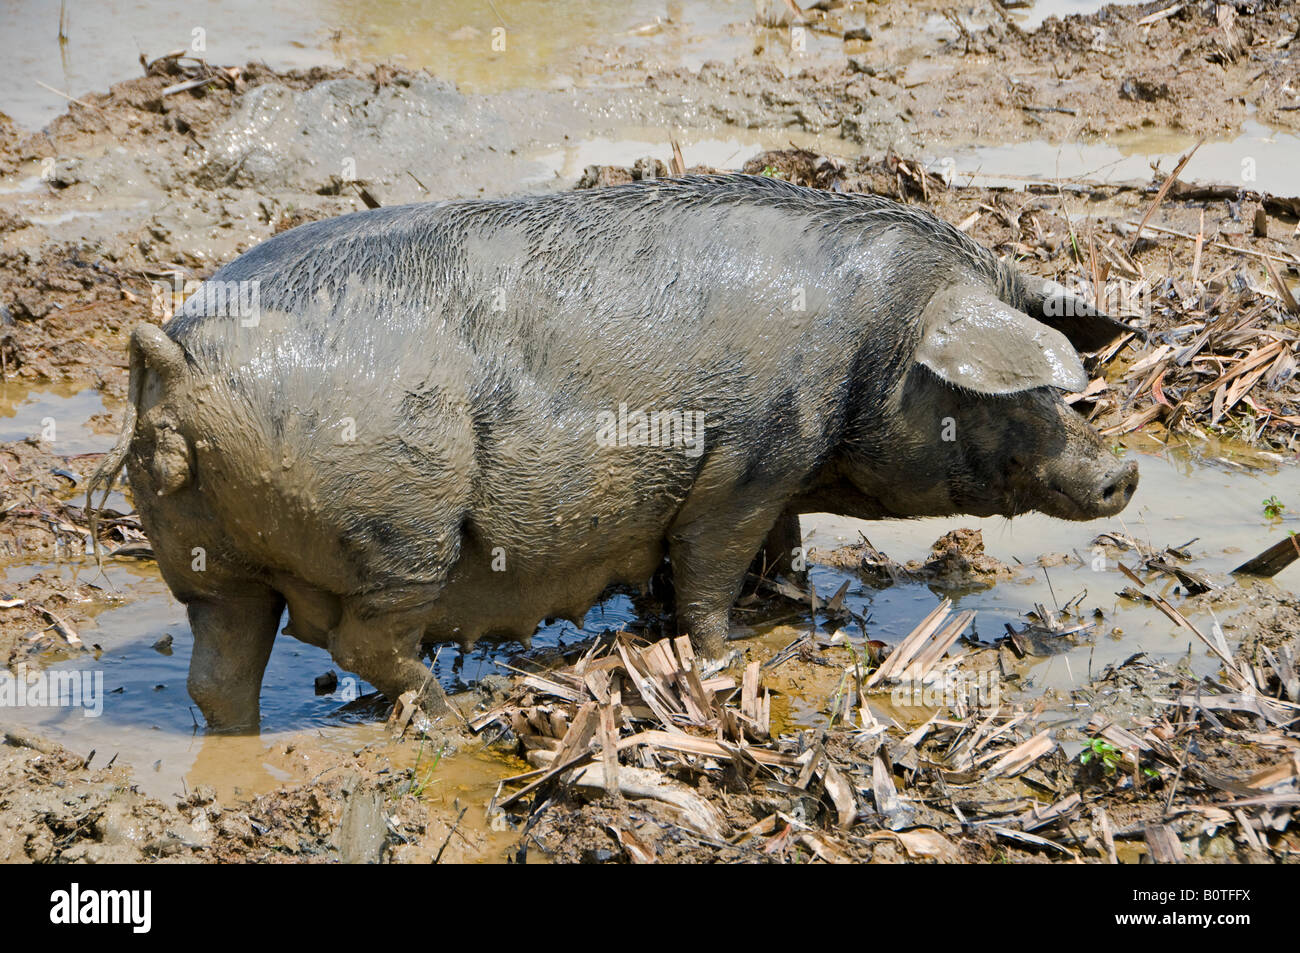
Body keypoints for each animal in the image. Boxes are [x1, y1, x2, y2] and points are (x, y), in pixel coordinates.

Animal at [86, 174, 1133, 733]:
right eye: (1027, 394)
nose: (1121, 471)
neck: (874, 346)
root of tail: (173, 361)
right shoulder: (748, 461)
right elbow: (710, 567)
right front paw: (733, 651)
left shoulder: (782, 478)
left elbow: (778, 546)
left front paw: (783, 608)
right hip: (400, 527)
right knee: (363, 641)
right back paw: (450, 714)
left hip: (207, 560)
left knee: (219, 669)